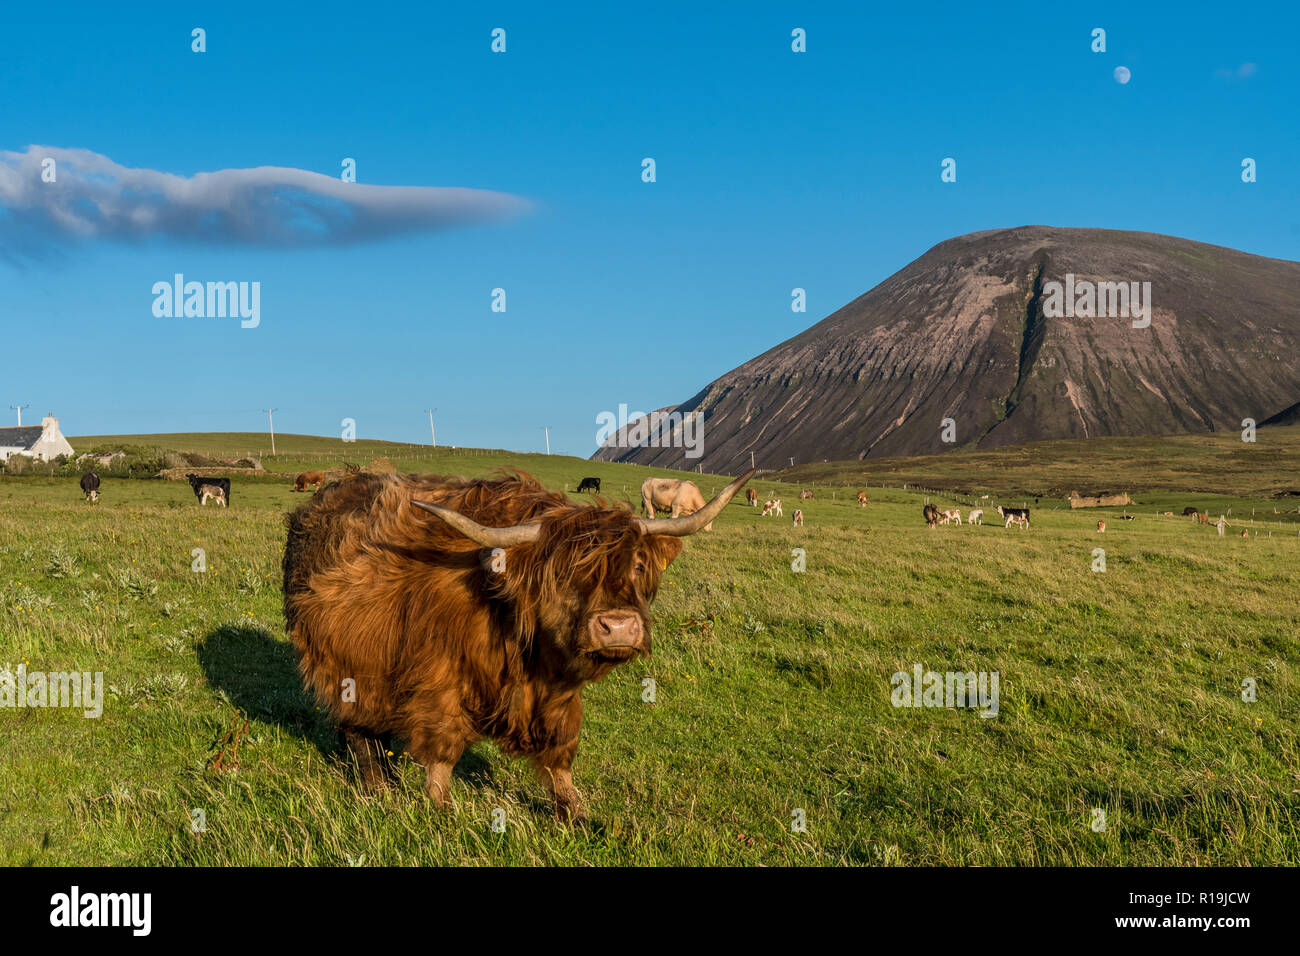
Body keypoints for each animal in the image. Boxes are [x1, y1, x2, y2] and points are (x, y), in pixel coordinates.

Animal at [284, 468, 754, 822]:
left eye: (638, 565)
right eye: (564, 574)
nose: (619, 626)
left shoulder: (559, 696)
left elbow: (560, 753)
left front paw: (577, 814)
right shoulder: (440, 681)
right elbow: (442, 750)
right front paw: (441, 808)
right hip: (340, 662)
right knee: (356, 728)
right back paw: (376, 786)